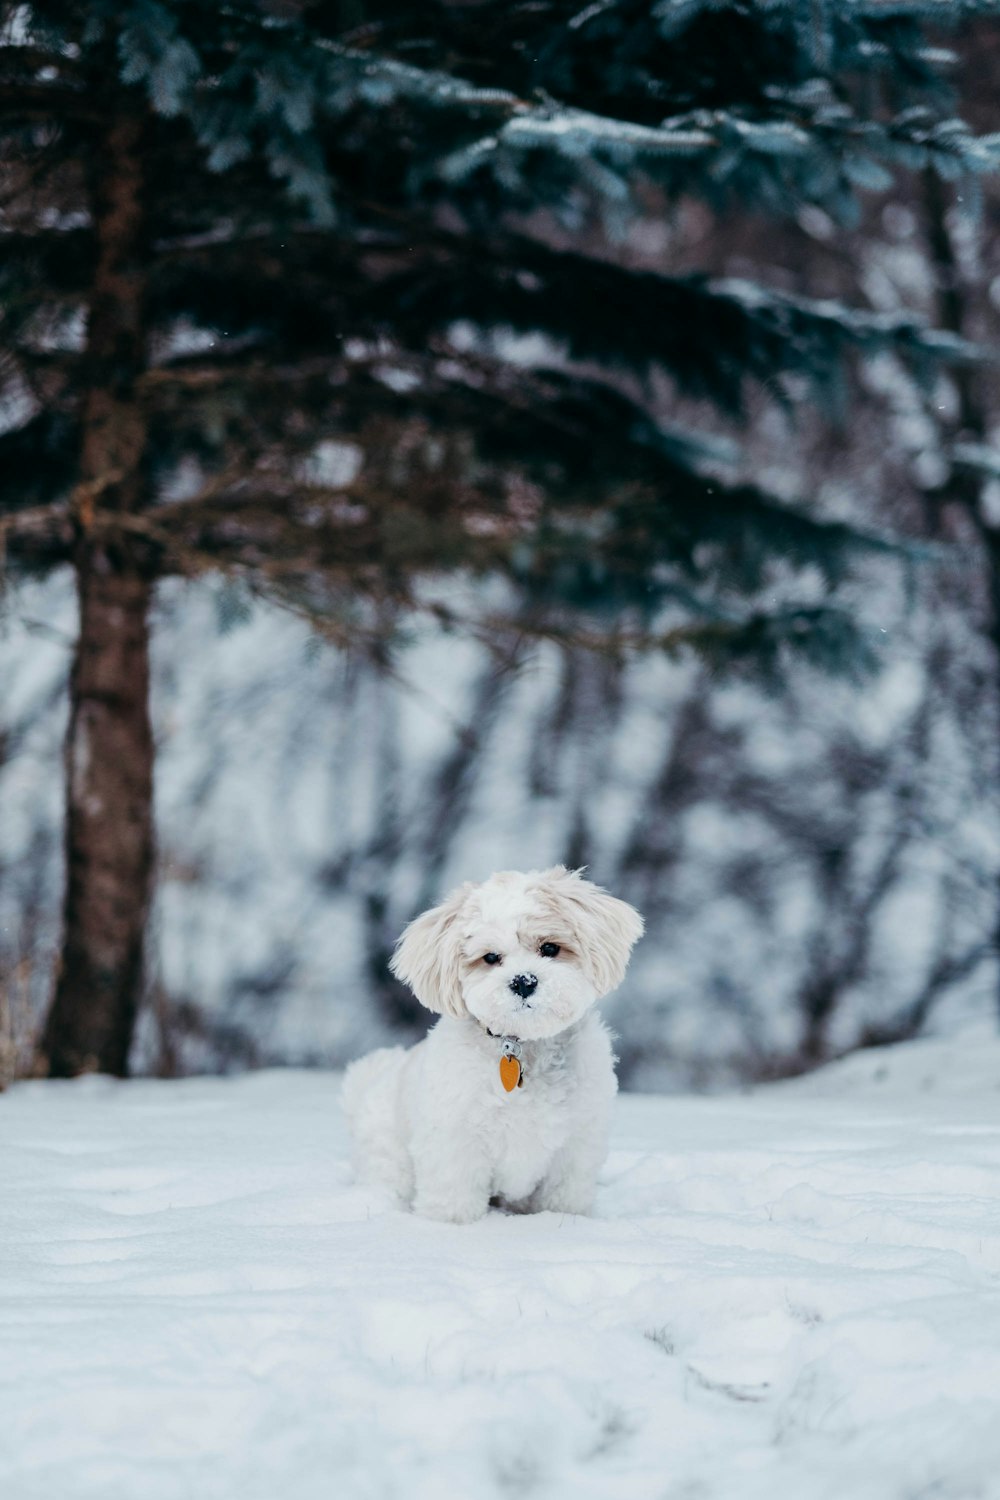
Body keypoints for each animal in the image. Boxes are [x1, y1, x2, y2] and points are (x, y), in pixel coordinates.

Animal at [341, 864, 641, 1224]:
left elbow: (563, 1199)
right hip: (389, 1153)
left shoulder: (576, 1146)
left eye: (550, 948)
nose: (524, 981)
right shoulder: (455, 1140)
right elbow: (454, 1197)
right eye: (491, 957)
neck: (523, 1046)